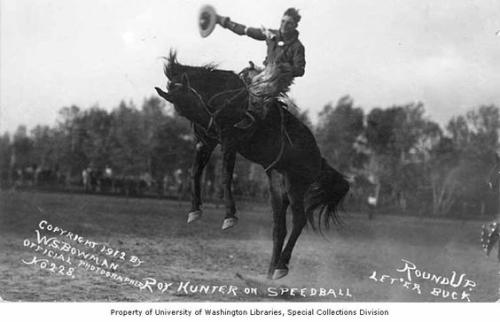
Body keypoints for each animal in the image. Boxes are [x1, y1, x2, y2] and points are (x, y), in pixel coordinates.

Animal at [154, 52, 350, 280]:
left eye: (191, 101)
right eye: (180, 111)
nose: (208, 128)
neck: (224, 97)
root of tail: (319, 160)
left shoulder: (229, 141)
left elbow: (225, 176)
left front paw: (229, 217)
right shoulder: (207, 143)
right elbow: (195, 173)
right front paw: (194, 211)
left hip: (296, 184)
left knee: (299, 220)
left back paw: (281, 267)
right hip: (278, 186)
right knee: (279, 229)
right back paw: (270, 271)